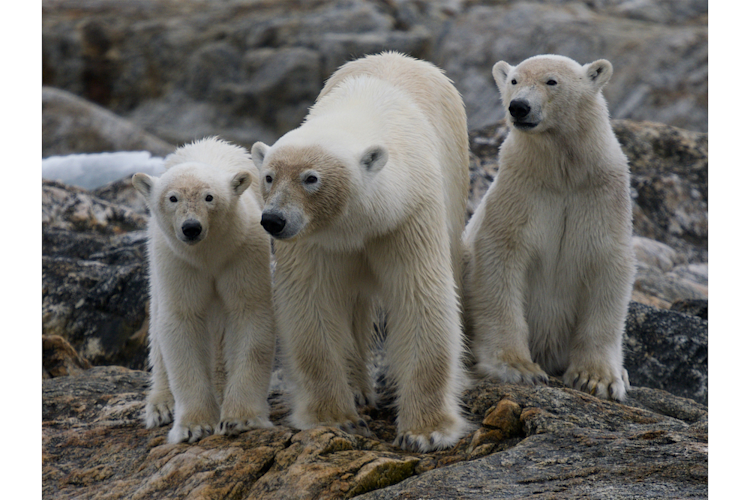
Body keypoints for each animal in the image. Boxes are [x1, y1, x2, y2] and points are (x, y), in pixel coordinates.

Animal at [132, 137, 276, 443]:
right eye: (172, 198)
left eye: (209, 197)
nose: (191, 228)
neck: (209, 255)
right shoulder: (179, 261)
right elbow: (181, 321)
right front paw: (193, 426)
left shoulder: (241, 252)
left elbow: (248, 313)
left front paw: (241, 419)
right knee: (158, 318)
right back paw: (161, 405)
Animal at [250, 52, 471, 452]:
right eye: (269, 176)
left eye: (311, 178)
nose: (273, 220)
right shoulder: (315, 240)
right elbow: (311, 303)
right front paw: (335, 417)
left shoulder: (407, 215)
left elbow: (421, 296)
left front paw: (426, 431)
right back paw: (357, 389)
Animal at [462, 54, 635, 401]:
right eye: (514, 80)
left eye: (551, 81)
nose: (519, 107)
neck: (562, 172)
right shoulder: (521, 192)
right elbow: (499, 261)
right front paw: (517, 367)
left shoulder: (602, 197)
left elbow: (608, 269)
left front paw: (598, 378)